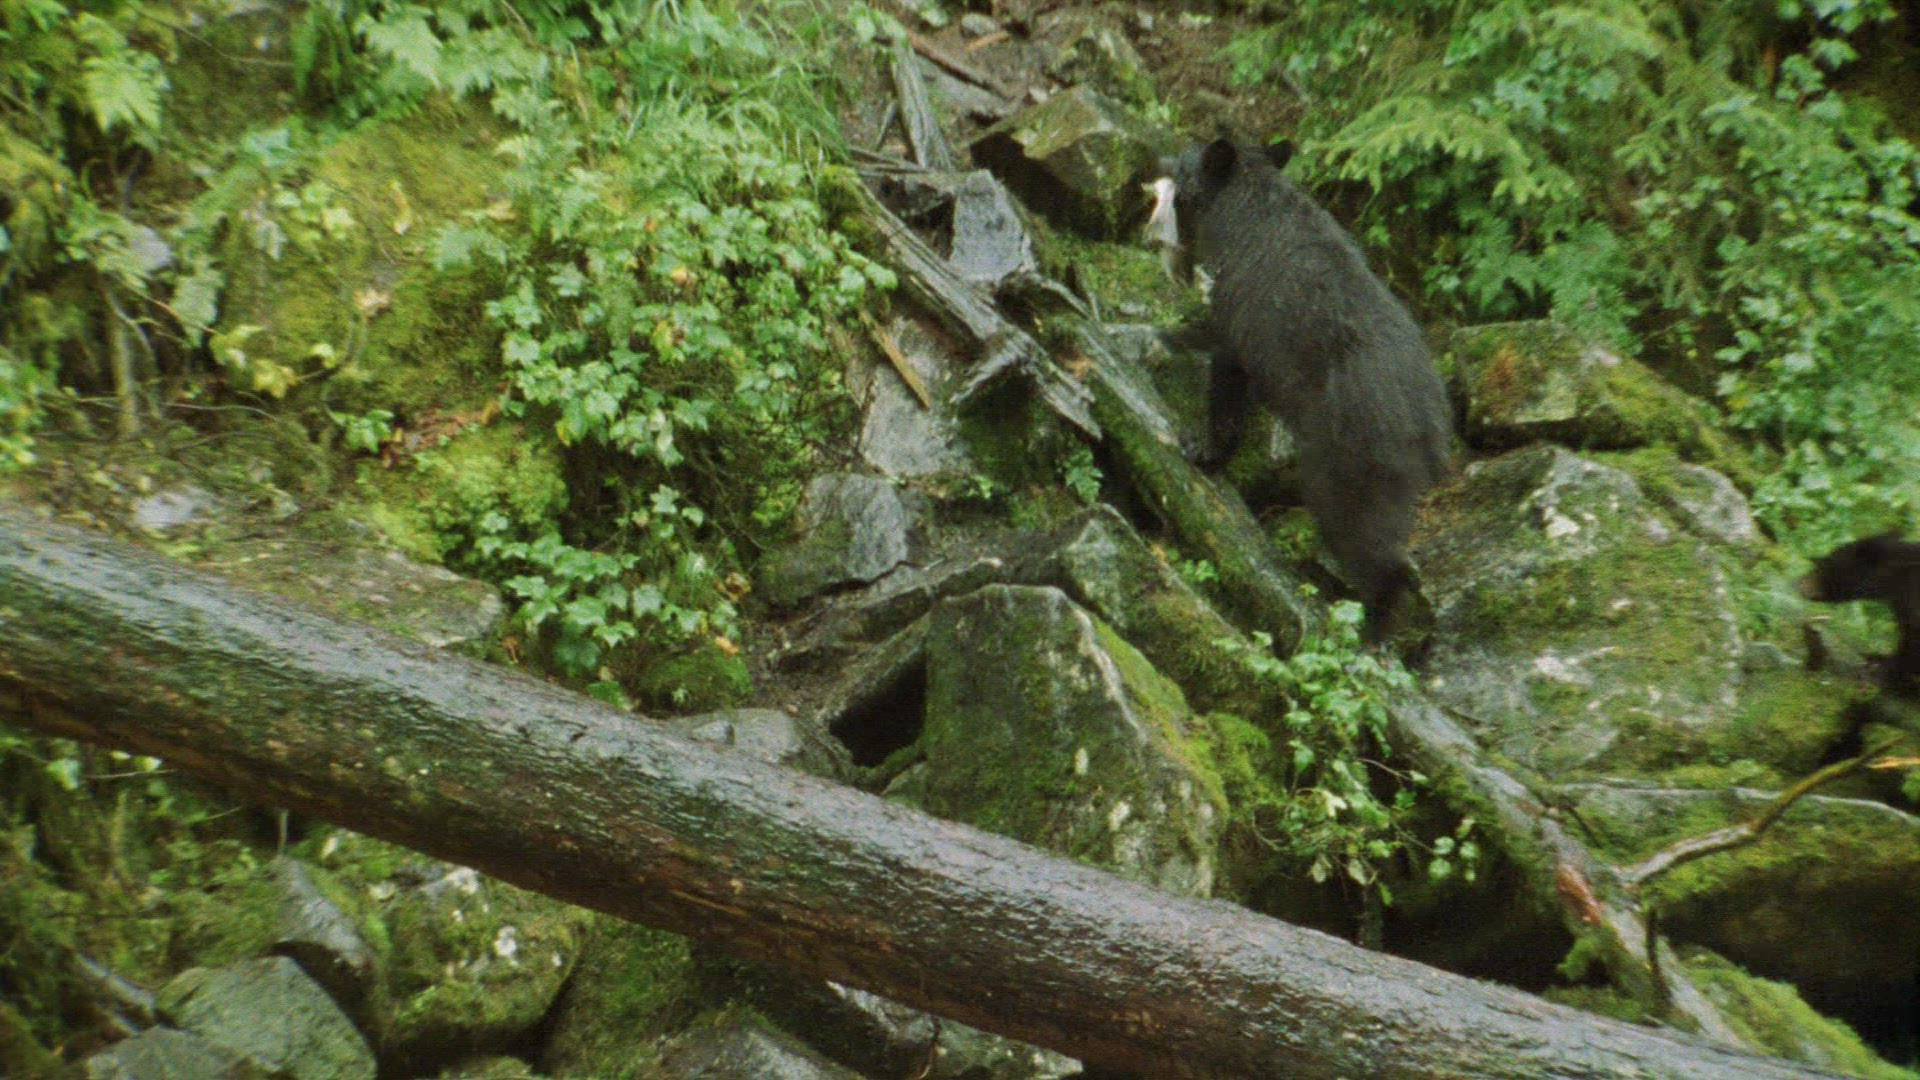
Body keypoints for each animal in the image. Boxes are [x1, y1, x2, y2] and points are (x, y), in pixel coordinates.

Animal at [1146, 138, 1452, 641]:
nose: (1158, 161)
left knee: (1362, 536)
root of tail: (1433, 429)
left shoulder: (1244, 310)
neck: (1241, 211)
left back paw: (1372, 627)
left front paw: (1202, 448)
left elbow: (1225, 368)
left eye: (1186, 158)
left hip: (1353, 457)